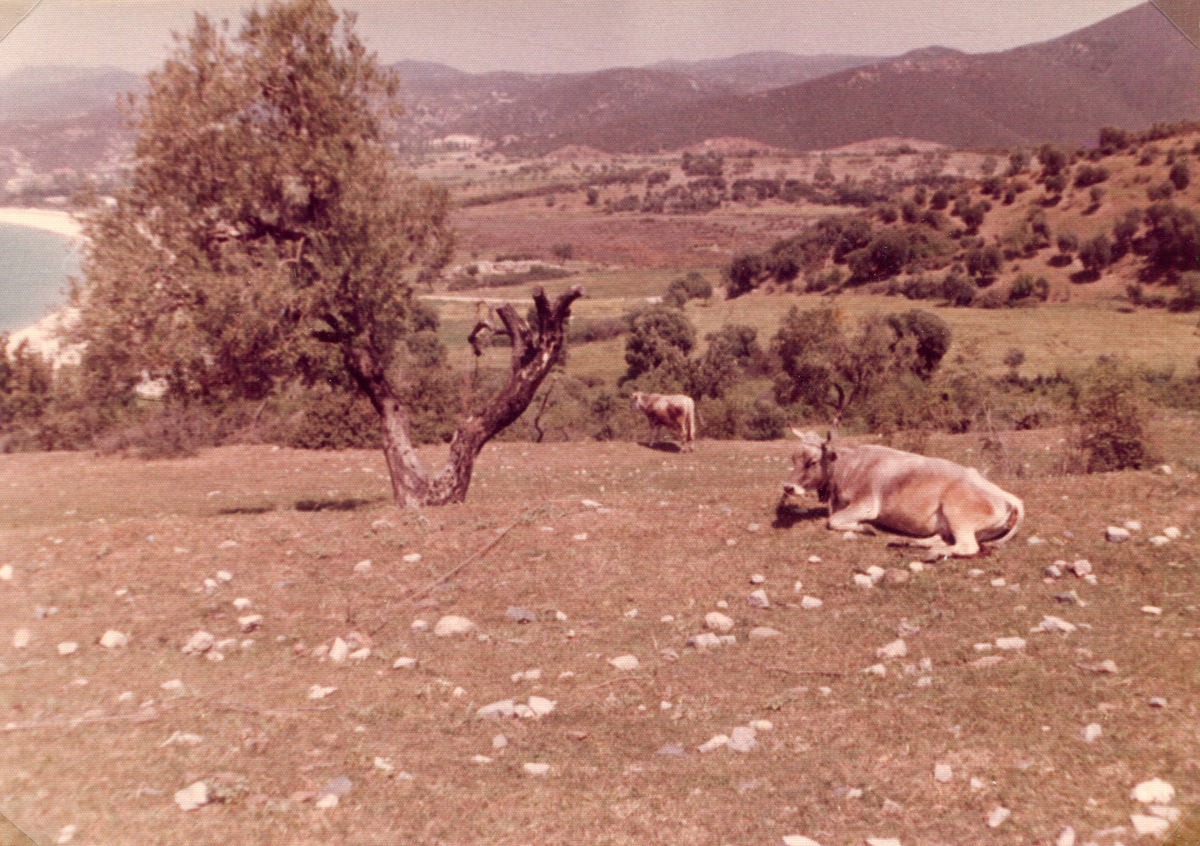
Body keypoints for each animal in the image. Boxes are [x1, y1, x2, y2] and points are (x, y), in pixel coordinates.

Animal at [782, 429, 1027, 561]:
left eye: (813, 462)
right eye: (793, 458)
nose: (788, 487)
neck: (849, 466)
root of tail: (1010, 498)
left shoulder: (866, 505)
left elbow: (832, 521)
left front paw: (866, 528)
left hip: (957, 514)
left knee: (967, 546)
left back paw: (931, 553)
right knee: (940, 538)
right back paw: (904, 542)